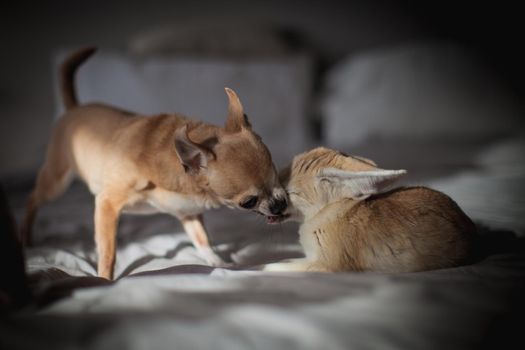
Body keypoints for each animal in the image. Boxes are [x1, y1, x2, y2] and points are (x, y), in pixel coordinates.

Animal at [21, 47, 286, 280]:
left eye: (279, 178)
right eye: (248, 202)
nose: (280, 204)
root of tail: (74, 110)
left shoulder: (188, 212)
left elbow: (202, 240)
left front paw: (219, 262)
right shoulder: (107, 204)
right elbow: (108, 252)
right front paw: (104, 280)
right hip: (56, 182)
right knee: (33, 198)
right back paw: (25, 237)